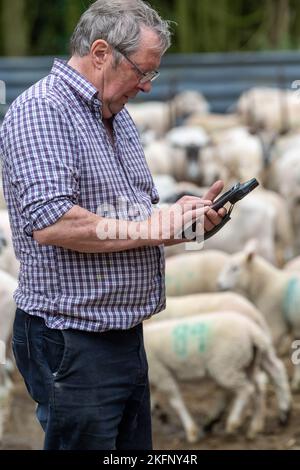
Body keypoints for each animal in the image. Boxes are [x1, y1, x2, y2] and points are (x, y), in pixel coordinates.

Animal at [144, 312, 292, 440]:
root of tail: (252, 331)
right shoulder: (152, 380)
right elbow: (150, 403)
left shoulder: (162, 374)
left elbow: (176, 403)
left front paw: (191, 432)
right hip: (249, 362)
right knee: (262, 384)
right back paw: (257, 425)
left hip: (225, 365)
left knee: (246, 389)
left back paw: (233, 422)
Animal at [217, 241, 300, 392]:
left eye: (235, 268)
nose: (219, 284)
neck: (266, 285)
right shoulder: (293, 325)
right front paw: (296, 381)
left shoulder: (275, 324)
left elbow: (267, 350)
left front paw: (263, 376)